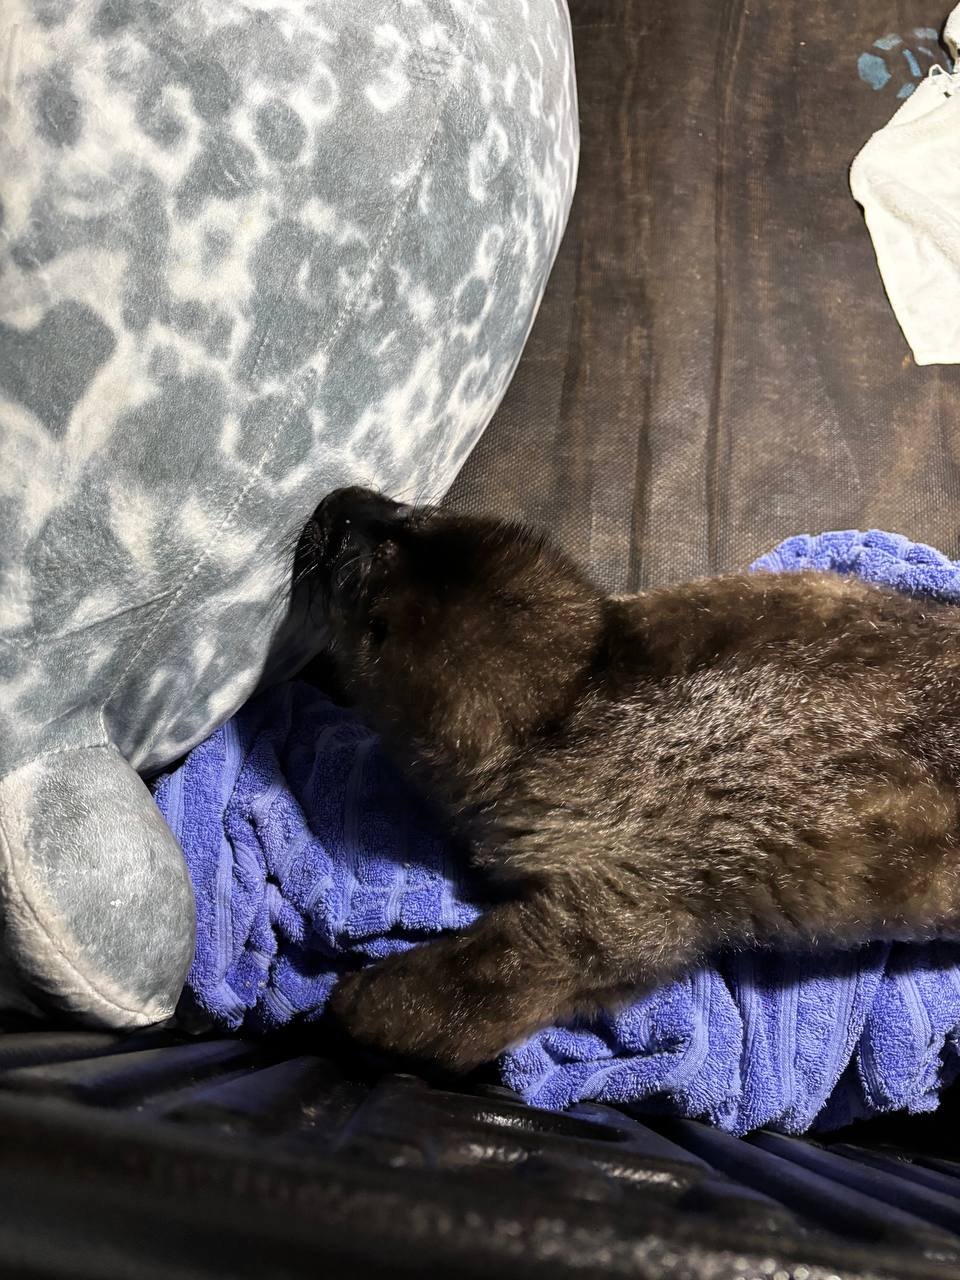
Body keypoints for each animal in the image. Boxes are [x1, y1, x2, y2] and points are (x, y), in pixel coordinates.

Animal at [297, 486, 960, 1071]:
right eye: (411, 515)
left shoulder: (614, 902)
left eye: (360, 579)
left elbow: (477, 990)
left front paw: (346, 1004)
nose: (333, 503)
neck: (573, 709)